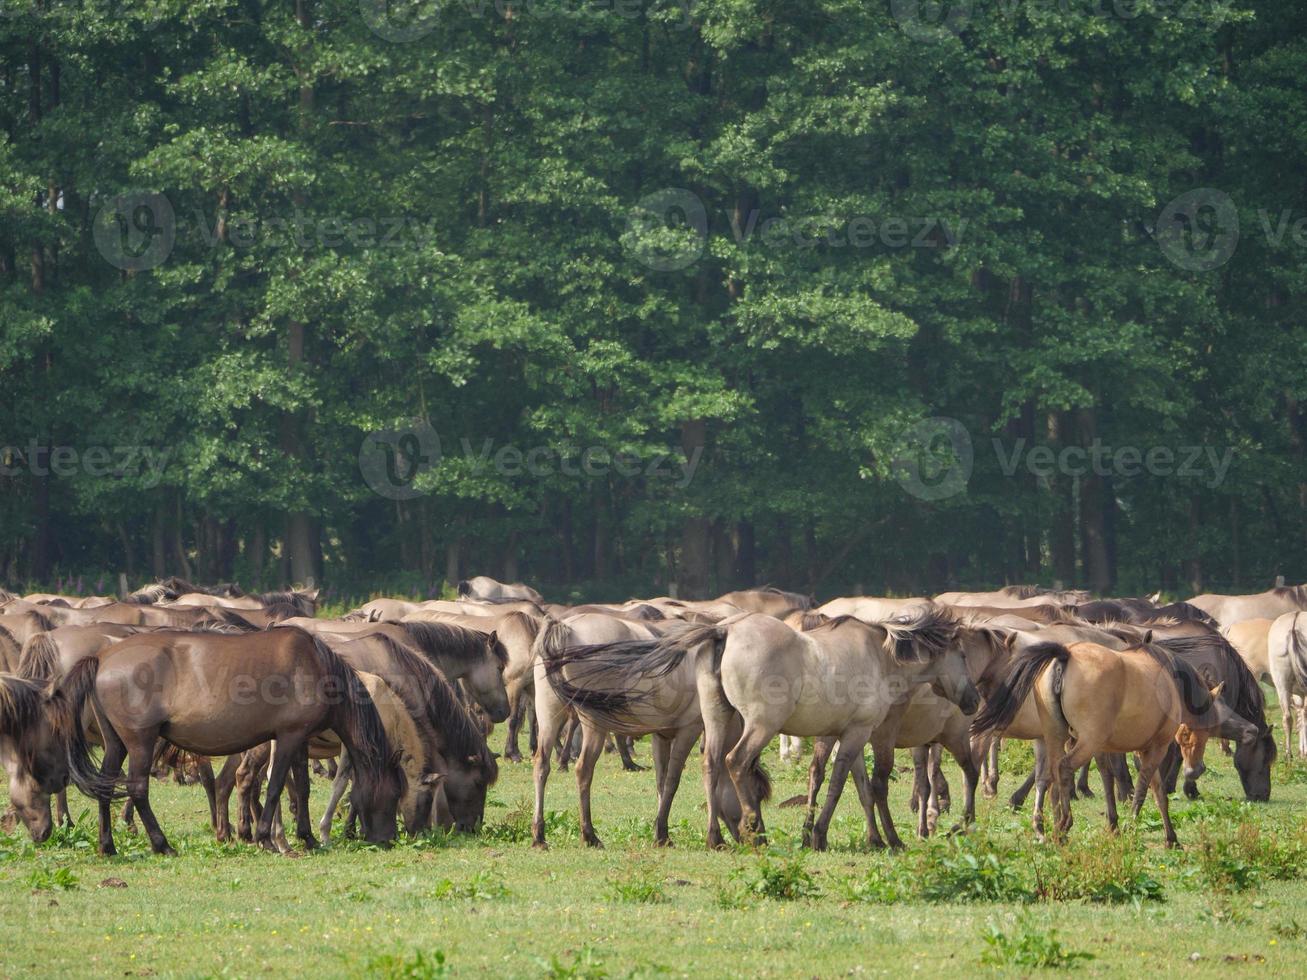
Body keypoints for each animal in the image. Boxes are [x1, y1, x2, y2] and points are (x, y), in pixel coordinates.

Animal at [54, 632, 402, 857]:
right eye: (396, 793)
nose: (390, 839)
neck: (315, 664)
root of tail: (102, 658)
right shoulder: (288, 736)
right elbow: (275, 787)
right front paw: (266, 839)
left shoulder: (300, 739)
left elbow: (301, 788)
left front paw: (307, 838)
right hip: (140, 741)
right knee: (138, 789)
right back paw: (162, 845)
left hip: (117, 744)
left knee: (106, 788)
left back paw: (108, 846)